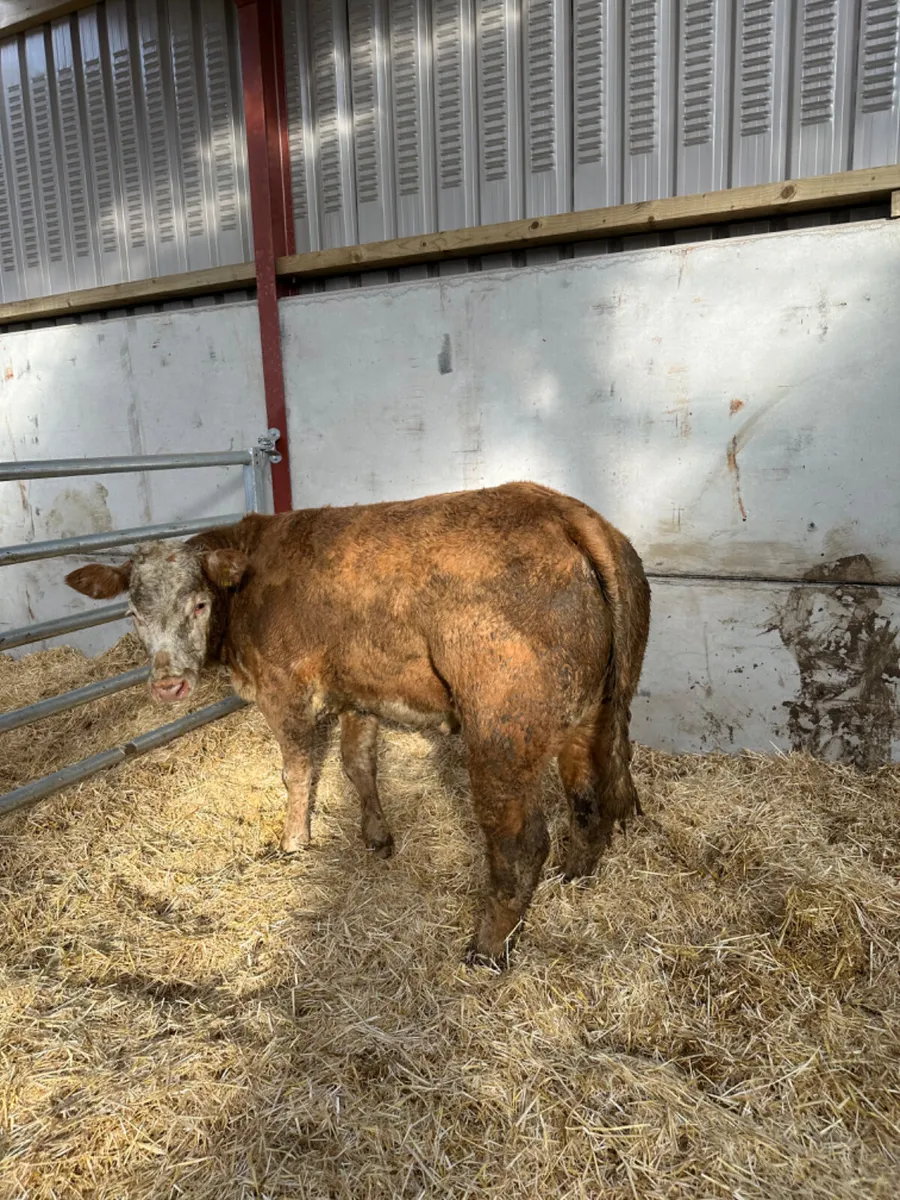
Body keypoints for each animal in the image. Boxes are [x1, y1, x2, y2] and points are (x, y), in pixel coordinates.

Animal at [65, 483, 650, 966]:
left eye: (200, 604)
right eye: (133, 614)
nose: (168, 683)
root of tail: (562, 509)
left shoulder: (285, 690)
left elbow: (298, 772)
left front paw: (294, 842)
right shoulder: (358, 692)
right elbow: (357, 764)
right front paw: (377, 837)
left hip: (501, 732)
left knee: (521, 842)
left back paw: (487, 949)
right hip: (592, 712)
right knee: (589, 800)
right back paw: (576, 878)